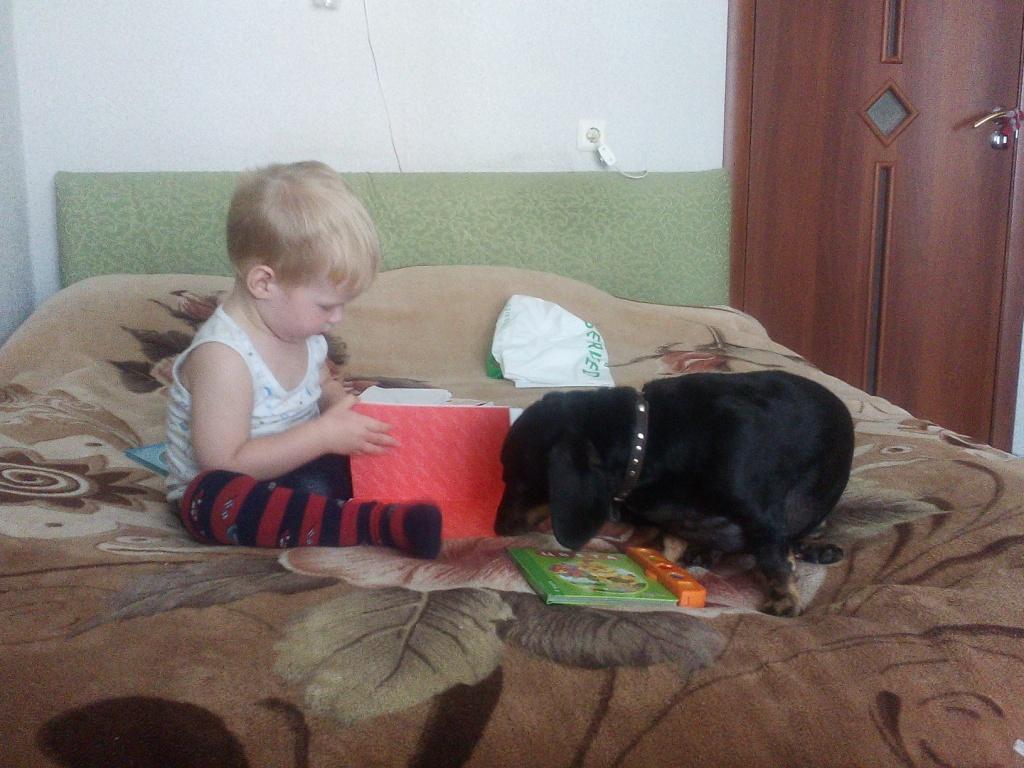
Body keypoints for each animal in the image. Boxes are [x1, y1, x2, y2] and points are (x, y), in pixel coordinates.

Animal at [494, 370, 854, 616]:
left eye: (518, 479)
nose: (497, 529)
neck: (648, 440)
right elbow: (658, 541)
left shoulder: (761, 514)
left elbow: (773, 559)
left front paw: (783, 601)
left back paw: (816, 549)